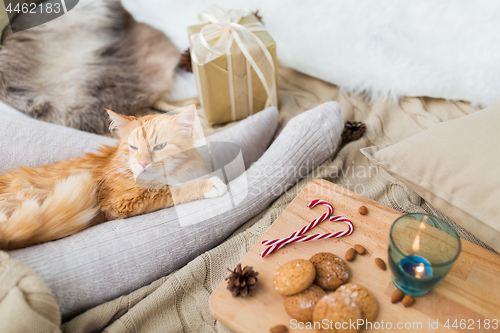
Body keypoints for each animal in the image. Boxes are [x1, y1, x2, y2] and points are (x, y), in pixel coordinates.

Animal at [0, 107, 227, 248]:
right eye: (133, 148)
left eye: (159, 147)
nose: (142, 163)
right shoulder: (122, 202)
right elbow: (171, 190)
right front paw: (210, 185)